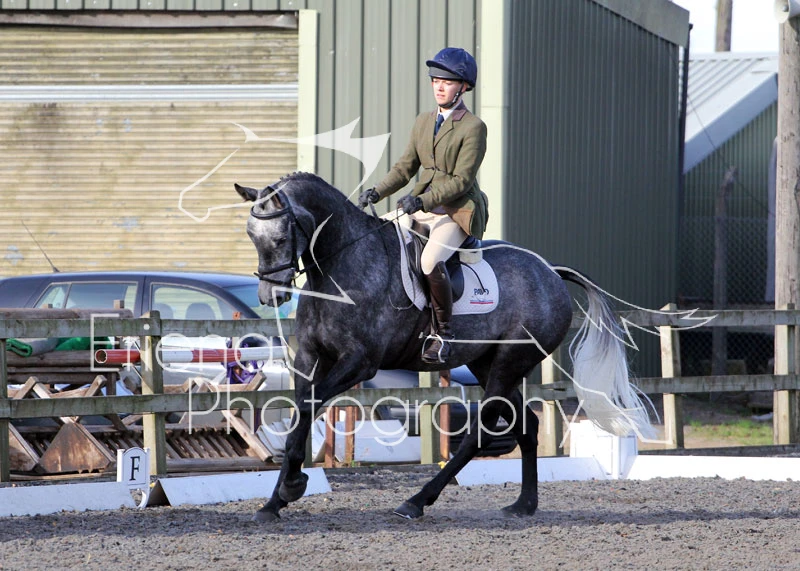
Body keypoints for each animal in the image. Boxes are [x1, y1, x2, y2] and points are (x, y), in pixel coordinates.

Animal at [234, 172, 652, 522]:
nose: (270, 297)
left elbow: (308, 406)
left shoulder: (359, 363)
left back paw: (416, 501)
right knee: (527, 426)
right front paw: (277, 499)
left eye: (280, 238)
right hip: (488, 364)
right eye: (251, 236)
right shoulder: (309, 357)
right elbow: (299, 414)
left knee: (480, 431)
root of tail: (549, 271)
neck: (340, 267)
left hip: (510, 362)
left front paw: (291, 486)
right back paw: (523, 505)